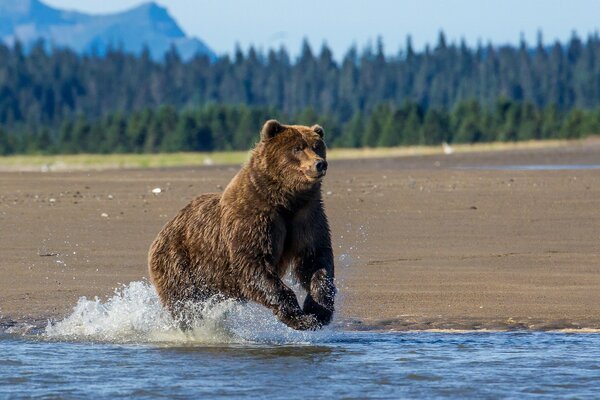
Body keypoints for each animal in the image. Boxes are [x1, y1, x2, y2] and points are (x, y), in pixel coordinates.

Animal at [145, 119, 332, 332]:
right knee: (184, 302)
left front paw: (318, 311)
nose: (320, 163)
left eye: (317, 146)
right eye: (297, 148)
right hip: (179, 262)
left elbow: (315, 259)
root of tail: (162, 231)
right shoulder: (253, 218)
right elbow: (254, 263)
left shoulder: (307, 216)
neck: (285, 200)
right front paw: (300, 317)